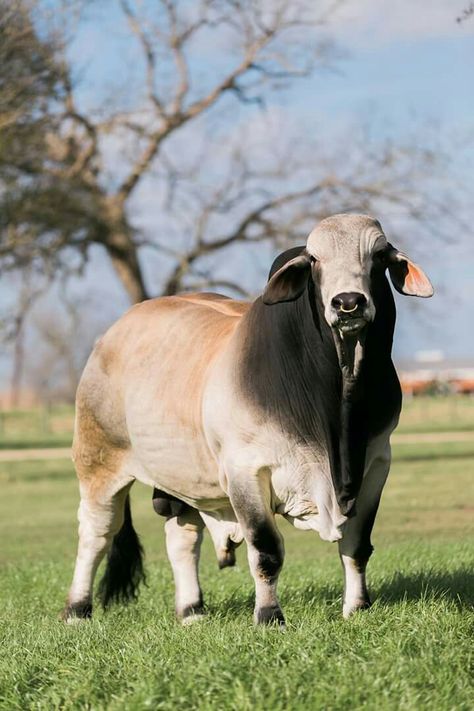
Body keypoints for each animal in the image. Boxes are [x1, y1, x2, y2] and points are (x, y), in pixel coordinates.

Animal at [63, 214, 434, 624]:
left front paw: (357, 609)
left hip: (181, 481)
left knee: (182, 537)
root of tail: (114, 332)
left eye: (378, 255)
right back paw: (77, 609)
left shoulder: (376, 465)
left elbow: (356, 546)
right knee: (96, 534)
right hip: (99, 461)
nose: (348, 303)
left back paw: (191, 611)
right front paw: (270, 616)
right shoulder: (246, 472)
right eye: (314, 259)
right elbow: (267, 551)